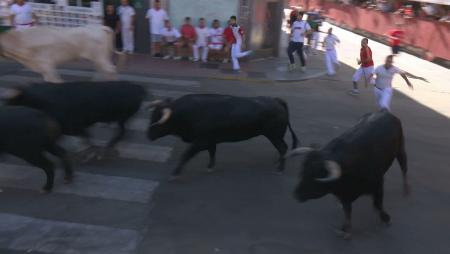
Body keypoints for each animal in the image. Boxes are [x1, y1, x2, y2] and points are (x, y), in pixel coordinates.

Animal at [3, 81, 146, 159]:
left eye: (13, 101)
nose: (6, 110)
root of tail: (137, 87)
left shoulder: (70, 127)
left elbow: (84, 136)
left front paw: (88, 152)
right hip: (123, 119)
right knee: (123, 133)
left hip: (122, 118)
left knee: (121, 133)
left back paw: (106, 149)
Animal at [148, 93, 298, 179]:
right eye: (152, 115)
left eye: (158, 120)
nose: (148, 135)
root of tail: (277, 100)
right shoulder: (210, 140)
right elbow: (212, 152)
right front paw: (210, 167)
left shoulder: (200, 142)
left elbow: (186, 155)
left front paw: (175, 173)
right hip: (276, 135)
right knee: (282, 148)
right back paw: (278, 162)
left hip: (274, 135)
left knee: (282, 148)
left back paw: (280, 168)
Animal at [286, 110, 410, 239]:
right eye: (302, 171)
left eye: (316, 175)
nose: (296, 194)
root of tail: (385, 111)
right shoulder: (344, 194)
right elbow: (347, 210)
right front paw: (345, 228)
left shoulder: (378, 184)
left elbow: (378, 204)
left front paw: (385, 218)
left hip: (401, 150)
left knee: (404, 168)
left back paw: (406, 189)